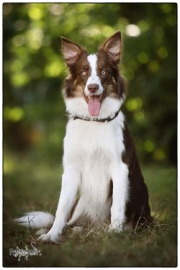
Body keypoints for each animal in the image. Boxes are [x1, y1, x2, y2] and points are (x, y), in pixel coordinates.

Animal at [16, 32, 153, 245]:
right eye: (83, 73)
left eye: (103, 72)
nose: (93, 87)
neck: (93, 121)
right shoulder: (71, 170)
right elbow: (61, 208)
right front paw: (52, 235)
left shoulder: (119, 168)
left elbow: (117, 207)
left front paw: (115, 233)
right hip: (82, 202)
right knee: (71, 222)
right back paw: (71, 230)